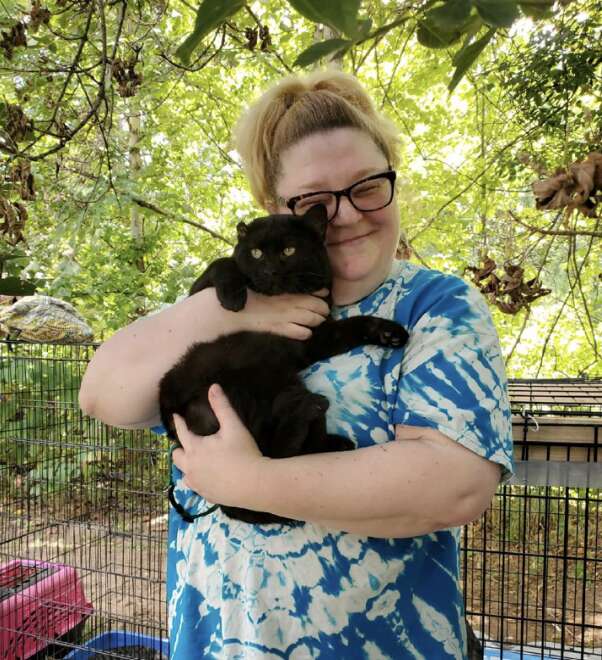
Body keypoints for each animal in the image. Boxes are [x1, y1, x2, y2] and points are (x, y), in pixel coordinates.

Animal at [158, 206, 408, 524]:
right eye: (255, 253)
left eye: (289, 250)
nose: (270, 271)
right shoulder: (196, 295)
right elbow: (222, 262)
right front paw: (233, 297)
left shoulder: (315, 336)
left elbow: (354, 324)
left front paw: (390, 333)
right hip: (231, 398)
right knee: (257, 474)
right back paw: (310, 412)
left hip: (283, 385)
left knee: (275, 464)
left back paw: (325, 430)